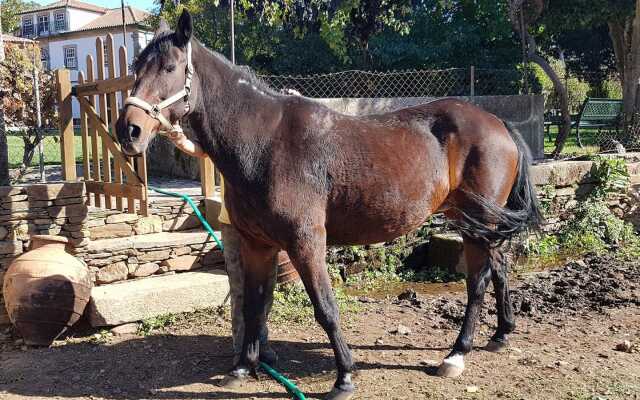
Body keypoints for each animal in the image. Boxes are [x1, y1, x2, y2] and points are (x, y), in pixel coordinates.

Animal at [116, 10, 540, 400]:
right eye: (135, 68)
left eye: (170, 67)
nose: (128, 130)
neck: (264, 142)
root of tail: (498, 123)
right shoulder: (257, 245)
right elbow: (254, 305)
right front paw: (241, 368)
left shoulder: (305, 243)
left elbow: (325, 308)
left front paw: (345, 377)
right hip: (477, 223)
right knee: (500, 267)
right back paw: (501, 334)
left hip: (476, 224)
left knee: (478, 282)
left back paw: (456, 355)